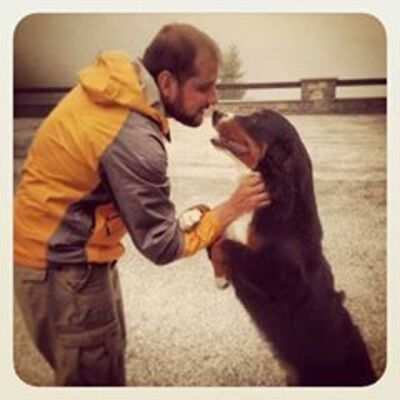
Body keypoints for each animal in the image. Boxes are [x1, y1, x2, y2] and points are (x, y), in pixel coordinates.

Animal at [208, 108, 377, 386]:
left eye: (255, 119)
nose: (216, 111)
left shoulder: (285, 281)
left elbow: (226, 245)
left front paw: (221, 277)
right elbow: (214, 237)